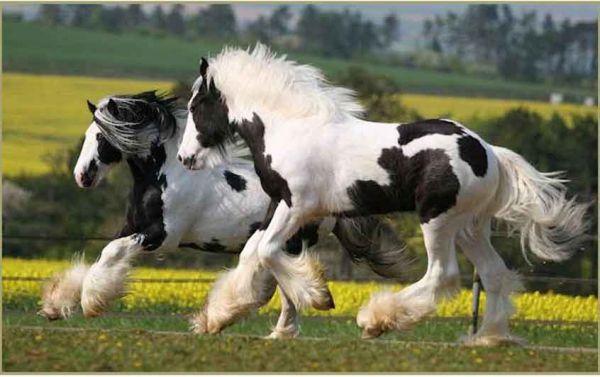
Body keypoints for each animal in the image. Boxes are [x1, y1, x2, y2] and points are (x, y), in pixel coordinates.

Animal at [39, 89, 408, 336]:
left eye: (102, 136)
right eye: (89, 134)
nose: (83, 176)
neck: (163, 175)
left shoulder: (161, 237)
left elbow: (110, 253)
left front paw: (91, 302)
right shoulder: (132, 227)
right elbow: (99, 256)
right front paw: (55, 306)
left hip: (287, 241)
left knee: (282, 284)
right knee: (284, 285)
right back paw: (277, 332)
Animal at [177, 44, 592, 344]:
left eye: (197, 105)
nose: (185, 157)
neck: (290, 128)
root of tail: (489, 152)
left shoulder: (298, 207)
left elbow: (266, 251)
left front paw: (318, 295)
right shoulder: (281, 204)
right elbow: (252, 253)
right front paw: (215, 319)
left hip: (438, 220)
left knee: (443, 275)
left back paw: (377, 320)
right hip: (470, 226)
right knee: (494, 274)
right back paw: (488, 338)